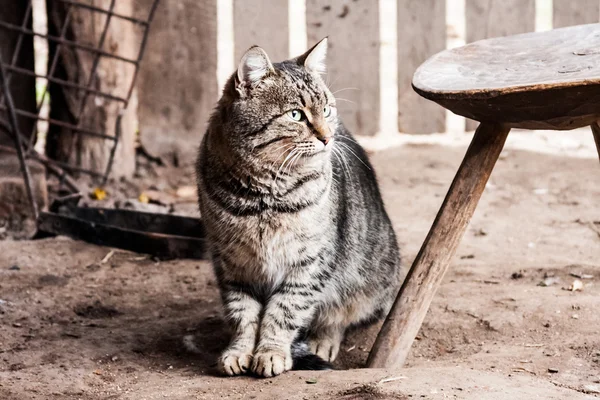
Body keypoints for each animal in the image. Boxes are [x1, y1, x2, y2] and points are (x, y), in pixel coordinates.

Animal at [198, 38, 404, 378]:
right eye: (296, 115)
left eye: (327, 110)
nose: (328, 137)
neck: (263, 198)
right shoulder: (231, 263)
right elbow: (242, 314)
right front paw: (239, 351)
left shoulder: (308, 262)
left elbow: (285, 311)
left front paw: (270, 352)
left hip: (365, 280)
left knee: (339, 316)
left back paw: (322, 340)